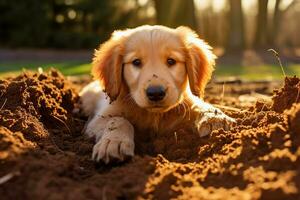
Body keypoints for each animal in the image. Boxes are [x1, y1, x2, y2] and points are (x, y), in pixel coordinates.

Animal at [81, 25, 236, 163]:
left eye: (171, 61)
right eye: (136, 62)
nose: (155, 93)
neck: (154, 115)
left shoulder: (186, 103)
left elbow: (199, 105)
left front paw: (216, 118)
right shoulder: (99, 119)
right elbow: (118, 120)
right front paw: (113, 142)